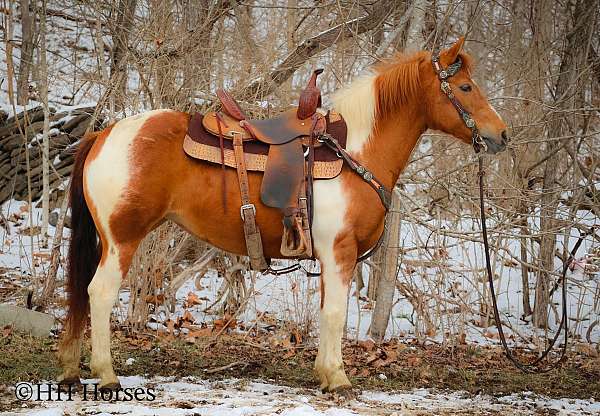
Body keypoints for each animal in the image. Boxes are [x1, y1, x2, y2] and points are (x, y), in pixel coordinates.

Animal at [58, 37, 506, 392]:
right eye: (465, 86)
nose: (501, 135)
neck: (354, 152)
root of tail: (104, 133)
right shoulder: (339, 252)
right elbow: (336, 313)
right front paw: (339, 379)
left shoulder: (331, 257)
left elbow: (329, 313)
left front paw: (325, 373)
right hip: (122, 239)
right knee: (99, 294)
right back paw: (107, 375)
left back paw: (70, 372)